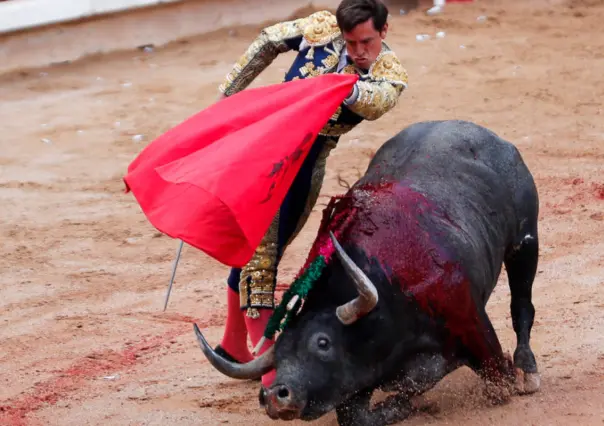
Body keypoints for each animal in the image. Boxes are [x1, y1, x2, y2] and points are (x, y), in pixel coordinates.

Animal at [192, 120, 536, 426]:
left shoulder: (474, 330)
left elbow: (496, 383)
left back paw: (528, 371)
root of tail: (486, 135)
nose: (275, 396)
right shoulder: (359, 374)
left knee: (522, 305)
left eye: (323, 343)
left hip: (525, 242)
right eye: (279, 352)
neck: (388, 291)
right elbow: (354, 415)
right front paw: (403, 407)